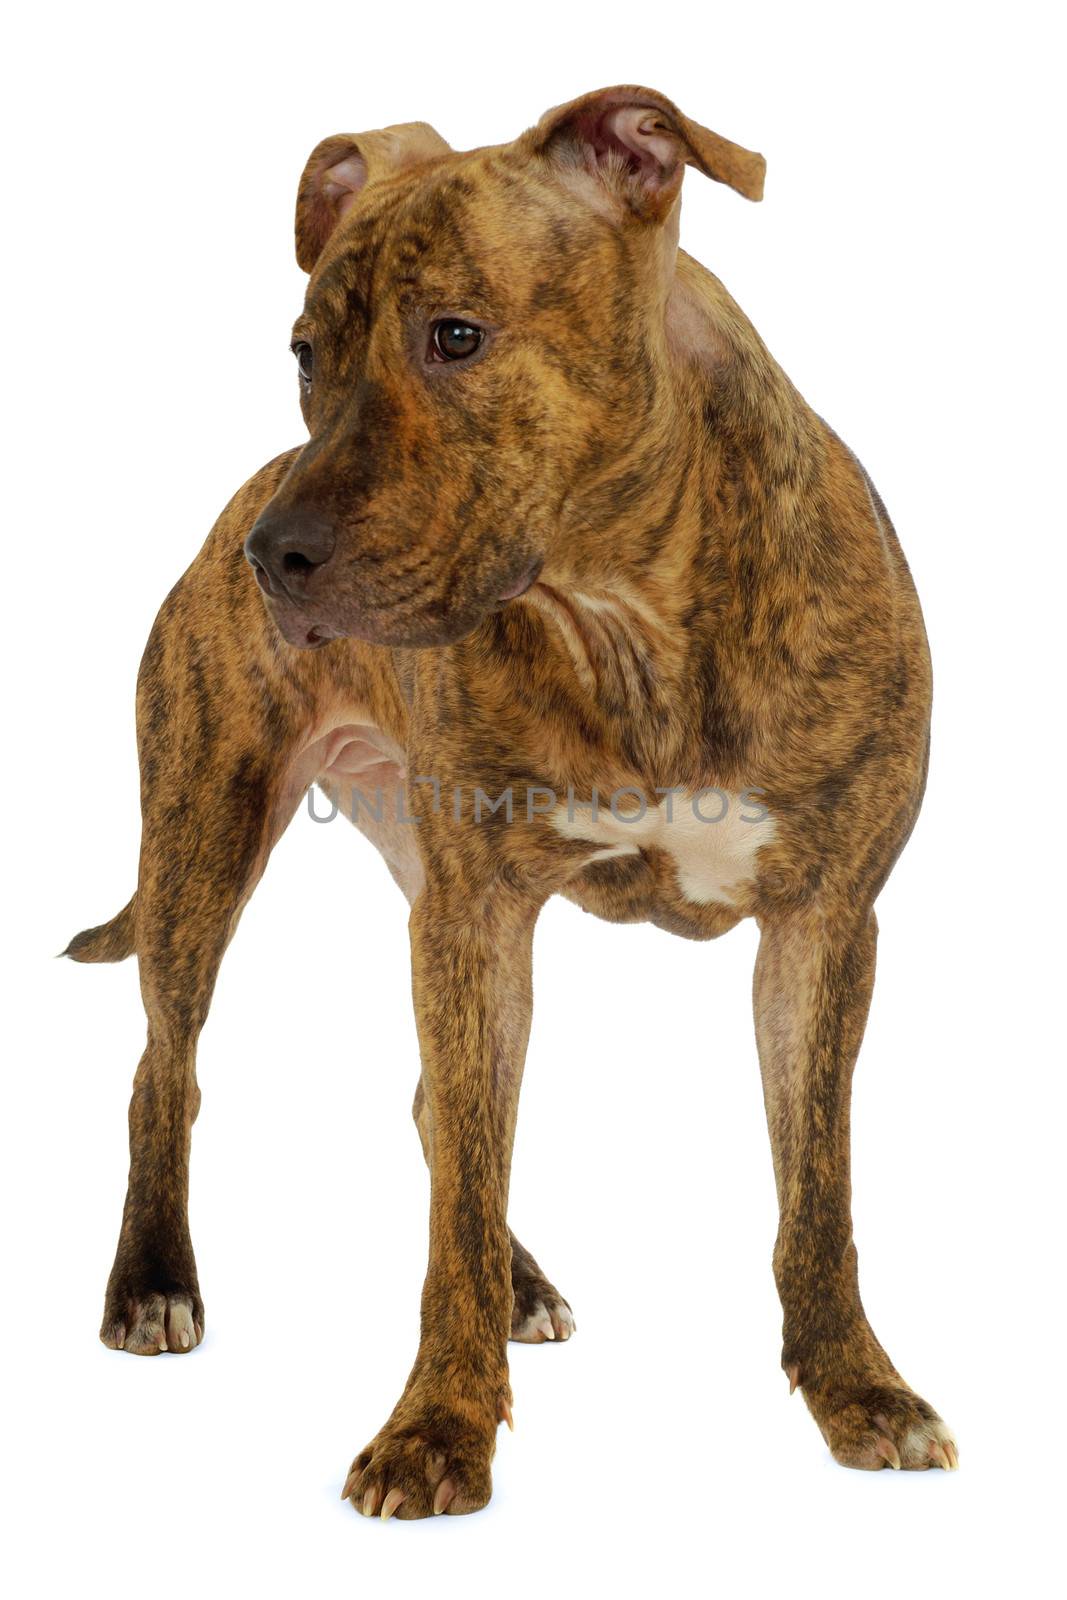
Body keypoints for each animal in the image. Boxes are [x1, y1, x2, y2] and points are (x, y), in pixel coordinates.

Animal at [64, 84, 959, 1510]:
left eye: (455, 336)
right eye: (304, 352)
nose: (275, 558)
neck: (629, 608)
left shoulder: (823, 927)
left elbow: (816, 1193)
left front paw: (855, 1389)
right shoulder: (477, 915)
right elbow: (455, 1217)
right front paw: (437, 1425)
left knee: (443, 1116)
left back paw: (518, 1276)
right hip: (203, 835)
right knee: (174, 1067)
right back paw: (154, 1279)